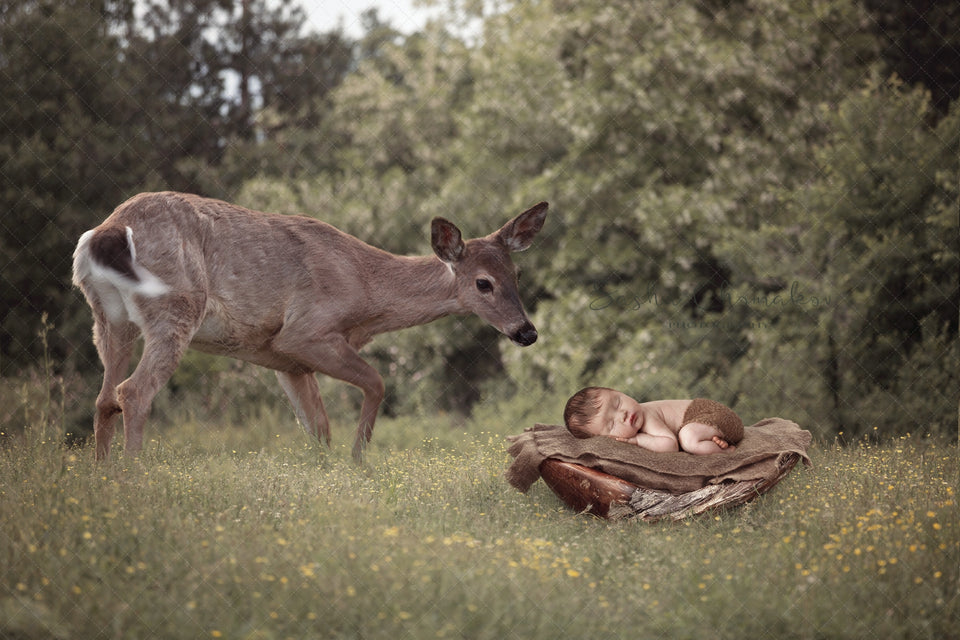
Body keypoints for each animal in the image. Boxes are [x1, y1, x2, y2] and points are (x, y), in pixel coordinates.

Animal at [73, 190, 548, 460]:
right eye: (483, 283)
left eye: (517, 275)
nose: (526, 332)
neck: (366, 289)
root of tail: (109, 230)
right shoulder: (305, 331)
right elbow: (376, 383)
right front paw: (358, 462)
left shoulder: (285, 360)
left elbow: (318, 429)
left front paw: (328, 471)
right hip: (175, 306)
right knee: (133, 392)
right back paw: (134, 473)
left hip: (109, 319)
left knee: (104, 398)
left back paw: (103, 476)